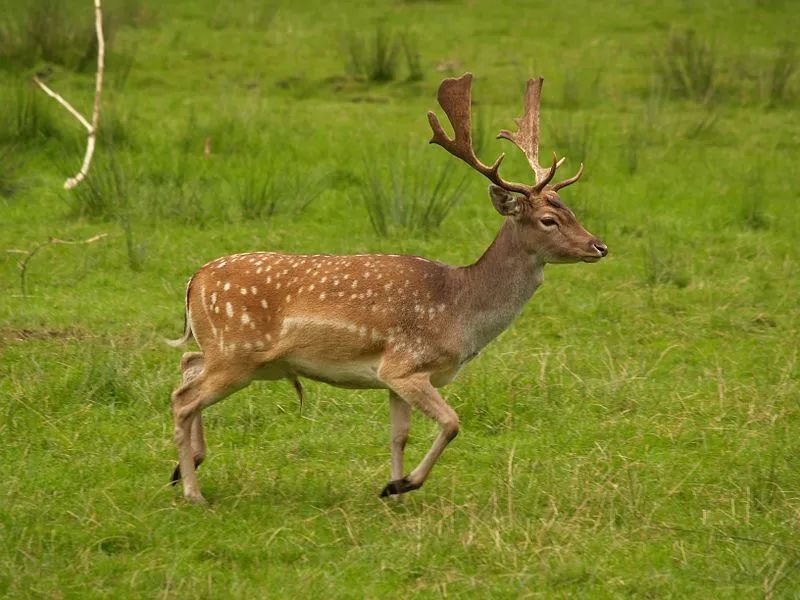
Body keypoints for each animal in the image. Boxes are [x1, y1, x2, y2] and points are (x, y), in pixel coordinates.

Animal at [169, 72, 608, 504]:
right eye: (549, 220)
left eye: (572, 211)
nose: (599, 246)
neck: (460, 311)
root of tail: (194, 280)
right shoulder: (405, 365)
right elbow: (452, 423)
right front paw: (402, 485)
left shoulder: (395, 377)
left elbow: (399, 435)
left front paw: (393, 494)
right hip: (236, 353)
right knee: (183, 400)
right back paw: (193, 492)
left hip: (235, 355)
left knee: (188, 365)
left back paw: (183, 468)